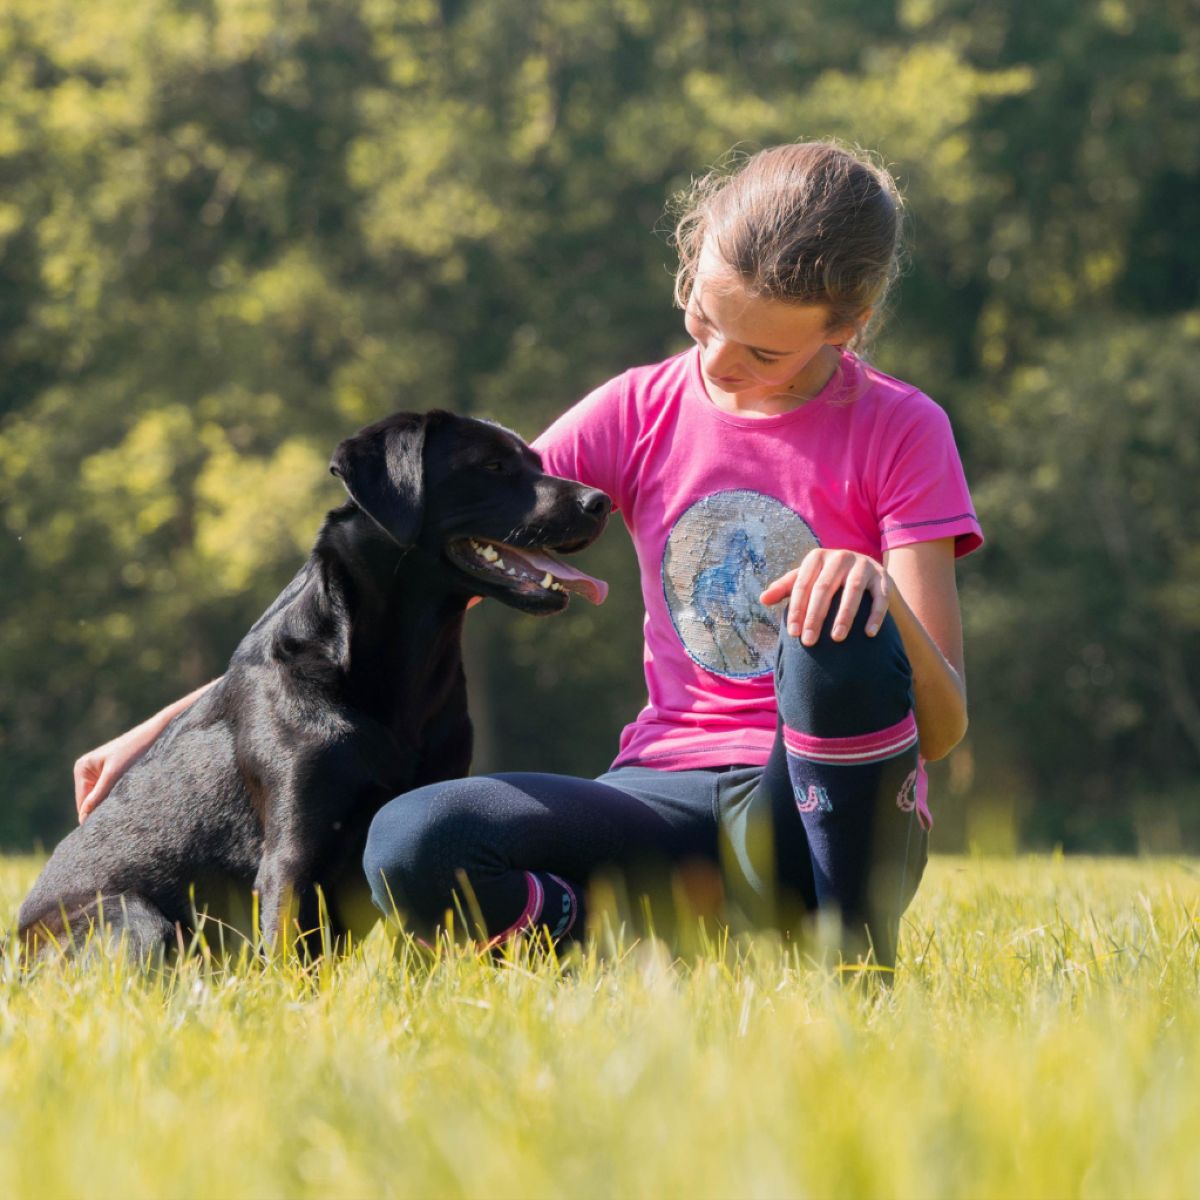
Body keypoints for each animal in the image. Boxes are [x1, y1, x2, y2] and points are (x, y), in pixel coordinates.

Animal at [14, 410, 604, 955]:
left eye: (539, 463)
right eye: (492, 465)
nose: (598, 502)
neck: (399, 672)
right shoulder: (291, 855)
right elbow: (288, 960)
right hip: (130, 918)